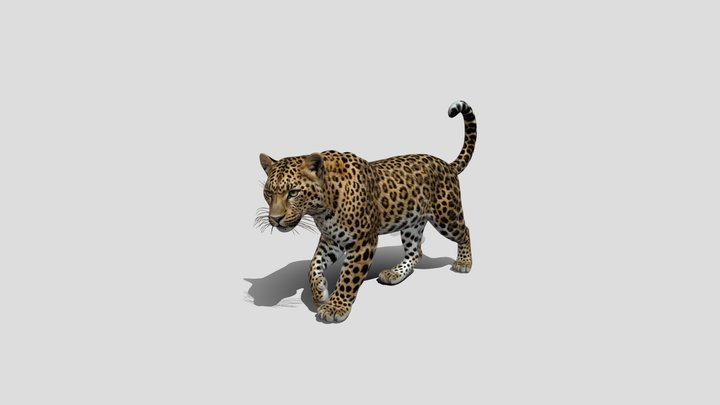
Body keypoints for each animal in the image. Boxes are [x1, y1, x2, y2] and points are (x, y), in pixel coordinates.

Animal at [258, 100, 477, 323]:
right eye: (268, 193)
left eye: (293, 193)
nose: (275, 219)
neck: (322, 207)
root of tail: (447, 165)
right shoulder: (331, 239)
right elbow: (313, 265)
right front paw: (319, 292)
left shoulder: (362, 241)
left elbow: (348, 276)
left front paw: (335, 307)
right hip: (412, 222)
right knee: (416, 251)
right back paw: (395, 274)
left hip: (446, 215)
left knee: (465, 231)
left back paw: (464, 262)